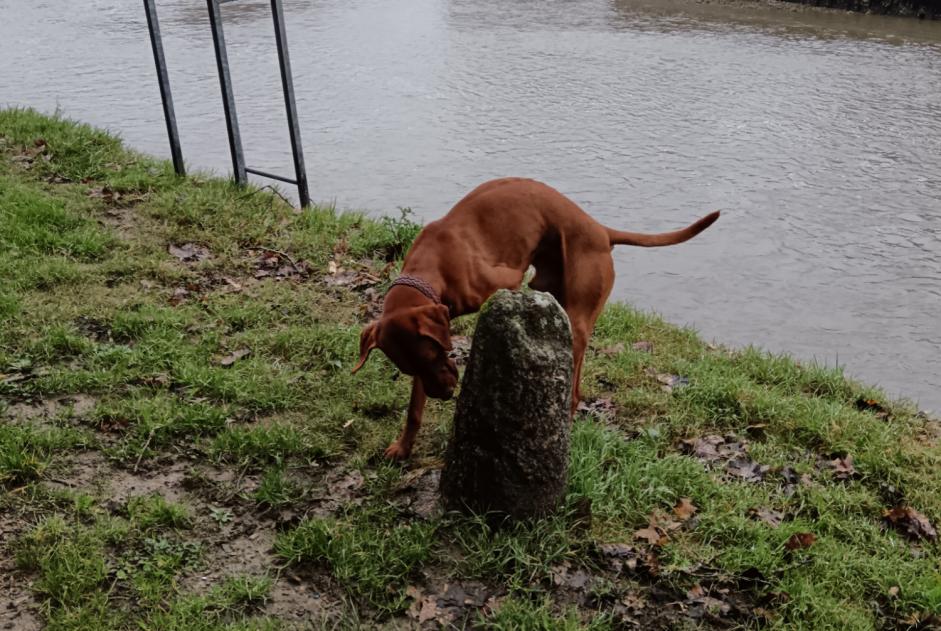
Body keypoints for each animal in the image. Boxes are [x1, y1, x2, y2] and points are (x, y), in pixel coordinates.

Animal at [354, 178, 720, 460]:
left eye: (432, 356)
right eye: (410, 368)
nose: (443, 394)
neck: (433, 265)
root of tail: (601, 231)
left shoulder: (507, 281)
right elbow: (414, 409)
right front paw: (403, 447)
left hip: (577, 321)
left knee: (574, 392)